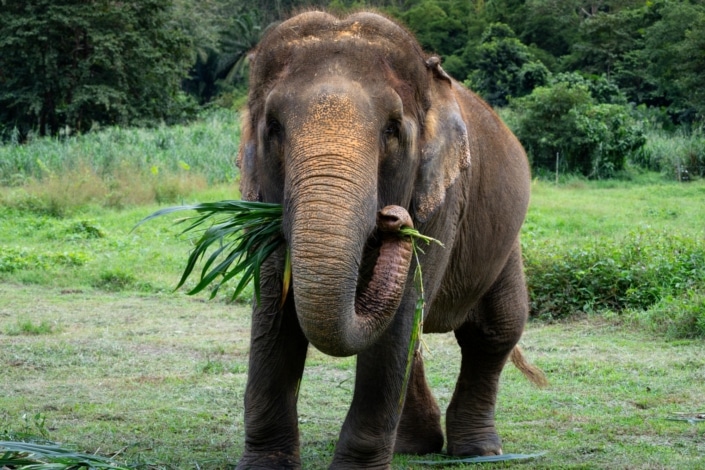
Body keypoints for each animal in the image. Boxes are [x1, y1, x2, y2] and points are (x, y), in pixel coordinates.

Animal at [235, 10, 545, 469]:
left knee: (493, 330)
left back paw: (479, 452)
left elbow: (398, 318)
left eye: (393, 130)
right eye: (273, 127)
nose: (395, 219)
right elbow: (276, 304)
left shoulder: (443, 200)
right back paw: (414, 446)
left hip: (505, 243)